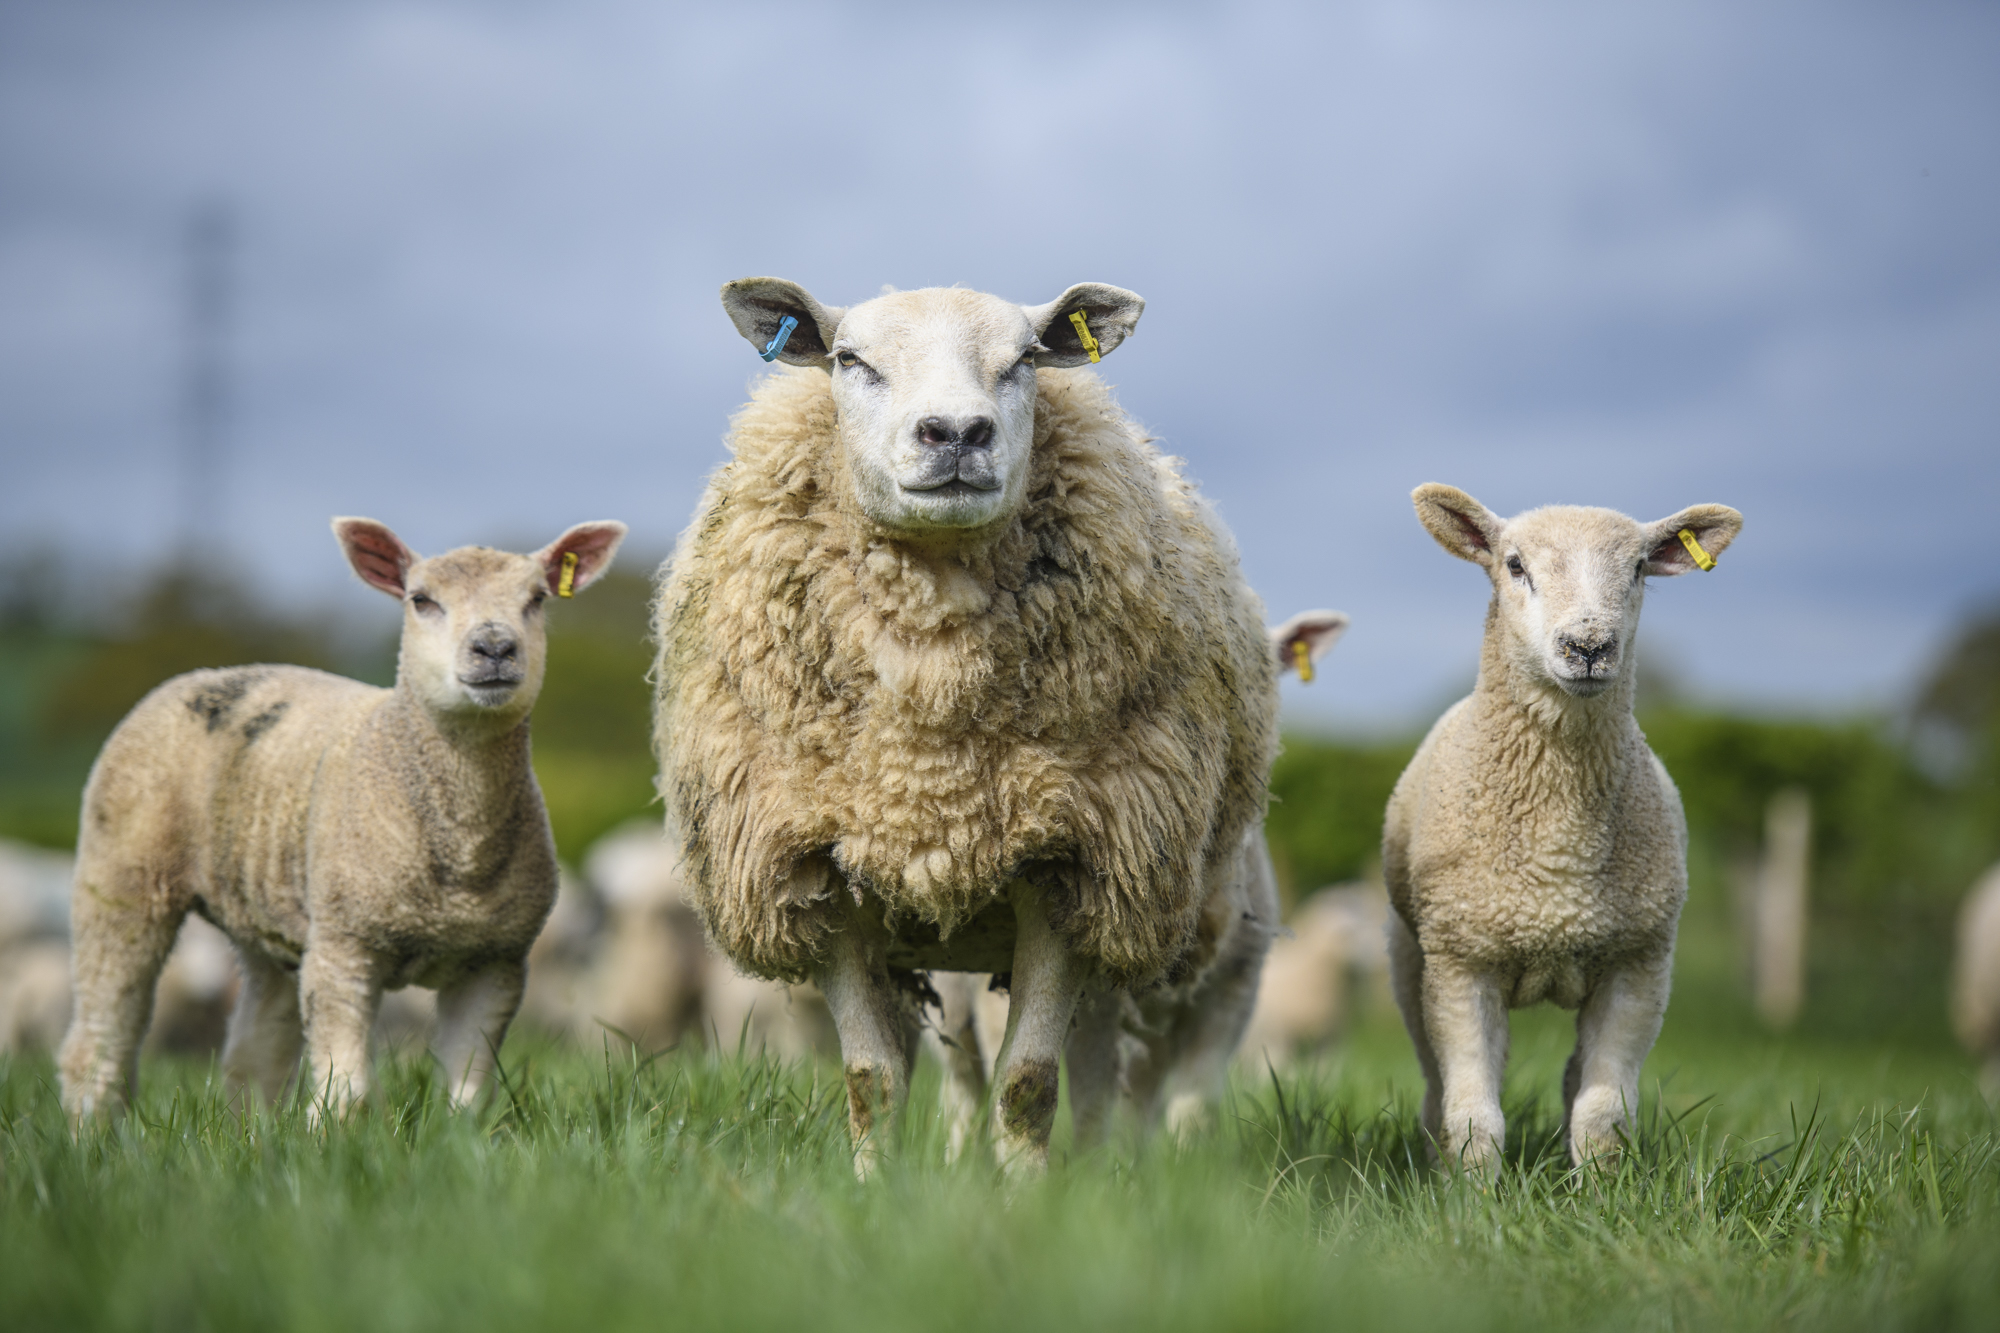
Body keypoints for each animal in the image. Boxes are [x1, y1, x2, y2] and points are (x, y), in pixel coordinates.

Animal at [58, 512, 620, 1112]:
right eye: (422, 600)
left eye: (537, 599)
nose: (494, 647)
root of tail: (203, 674)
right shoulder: (344, 946)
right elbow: (344, 1088)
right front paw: (334, 1130)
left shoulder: (496, 963)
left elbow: (468, 1090)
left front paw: (461, 1130)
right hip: (121, 875)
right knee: (99, 1040)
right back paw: (90, 1127)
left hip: (270, 922)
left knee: (252, 1056)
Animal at [652, 274, 1280, 1168]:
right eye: (850, 359)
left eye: (1026, 359)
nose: (955, 432)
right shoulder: (817, 865)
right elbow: (872, 1079)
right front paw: (872, 1185)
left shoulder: (1072, 862)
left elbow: (1030, 1082)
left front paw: (1027, 1193)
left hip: (1121, 901)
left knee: (1094, 1073)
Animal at [1384, 482, 1744, 1168]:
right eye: (1514, 565)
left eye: (1639, 568)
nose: (1589, 647)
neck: (1559, 850)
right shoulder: (1461, 962)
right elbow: (1474, 1116)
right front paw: (1472, 1191)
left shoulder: (1639, 965)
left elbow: (1603, 1115)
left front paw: (1602, 1188)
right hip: (1411, 954)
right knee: (1439, 1080)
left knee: (1577, 1076)